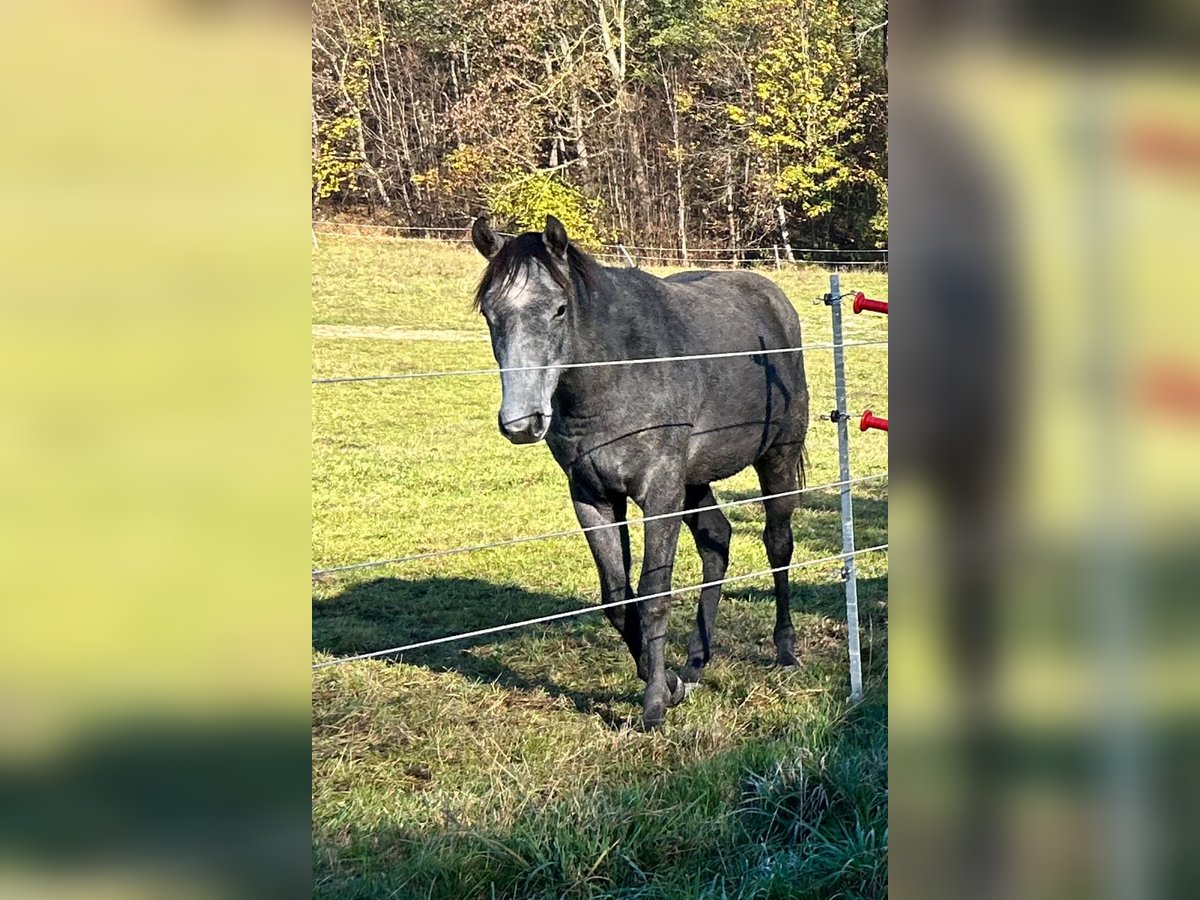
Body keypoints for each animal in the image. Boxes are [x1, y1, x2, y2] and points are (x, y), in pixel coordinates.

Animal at [472, 218, 811, 734]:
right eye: (491, 313)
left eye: (559, 308)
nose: (522, 423)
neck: (618, 370)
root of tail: (775, 301)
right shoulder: (593, 498)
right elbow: (617, 598)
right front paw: (669, 683)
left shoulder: (659, 495)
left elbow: (653, 594)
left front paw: (653, 705)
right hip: (695, 483)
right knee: (717, 542)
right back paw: (696, 663)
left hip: (776, 459)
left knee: (777, 545)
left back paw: (786, 651)